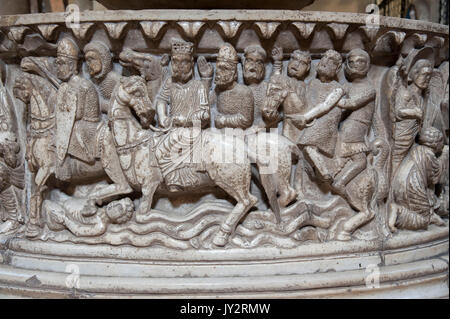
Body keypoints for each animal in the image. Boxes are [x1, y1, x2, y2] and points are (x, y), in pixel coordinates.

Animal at [109, 75, 300, 248]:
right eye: (136, 92)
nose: (148, 114)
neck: (135, 141)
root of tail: (243, 149)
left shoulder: (150, 184)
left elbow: (142, 215)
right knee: (280, 195)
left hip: (228, 178)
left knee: (249, 200)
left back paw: (223, 234)